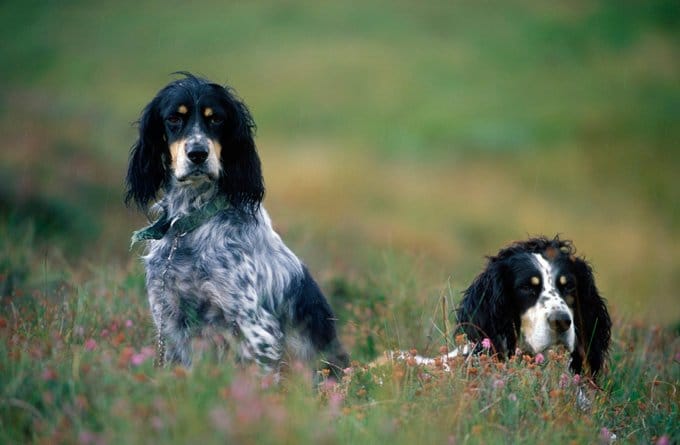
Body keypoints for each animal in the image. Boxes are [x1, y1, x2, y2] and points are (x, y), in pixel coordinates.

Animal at [126, 73, 350, 378]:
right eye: (174, 118)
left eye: (216, 119)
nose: (198, 153)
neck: (191, 225)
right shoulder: (170, 318)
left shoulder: (257, 329)